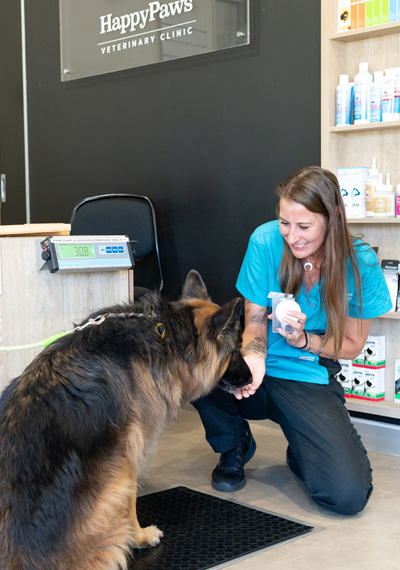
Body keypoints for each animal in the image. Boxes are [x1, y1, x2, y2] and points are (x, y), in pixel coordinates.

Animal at [0, 270, 250, 568]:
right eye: (237, 350)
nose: (252, 378)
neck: (168, 335)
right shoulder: (128, 455)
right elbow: (130, 504)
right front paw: (139, 536)